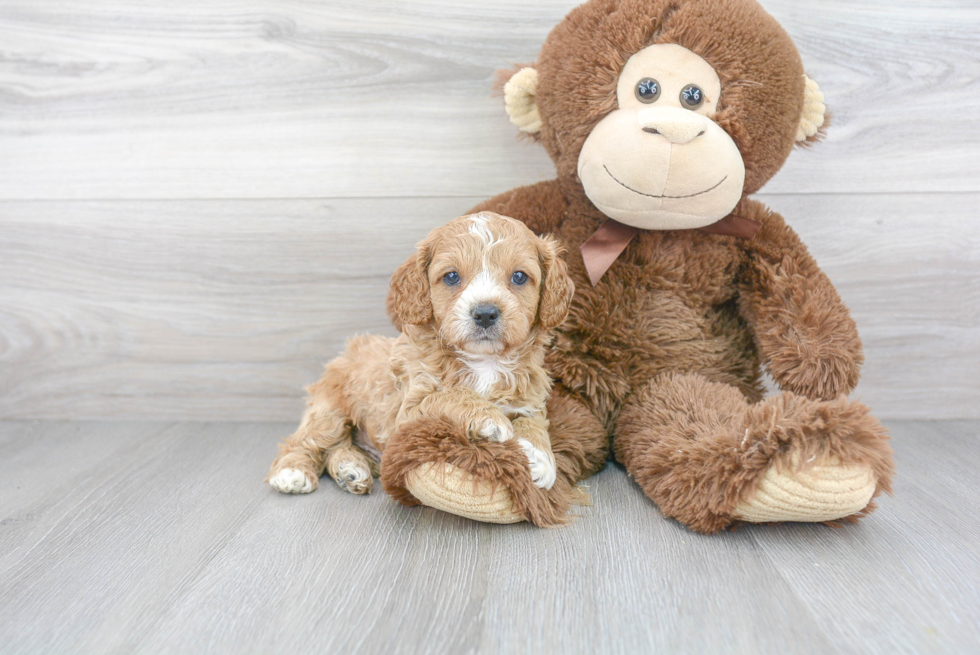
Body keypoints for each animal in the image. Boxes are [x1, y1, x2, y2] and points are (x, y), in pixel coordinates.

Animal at [268, 214, 576, 498]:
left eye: (519, 276)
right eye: (451, 276)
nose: (486, 313)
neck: (484, 362)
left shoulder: (530, 397)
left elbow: (534, 421)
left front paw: (539, 457)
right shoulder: (408, 412)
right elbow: (448, 395)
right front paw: (489, 418)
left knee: (339, 446)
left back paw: (350, 469)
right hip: (329, 410)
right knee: (306, 440)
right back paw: (292, 471)